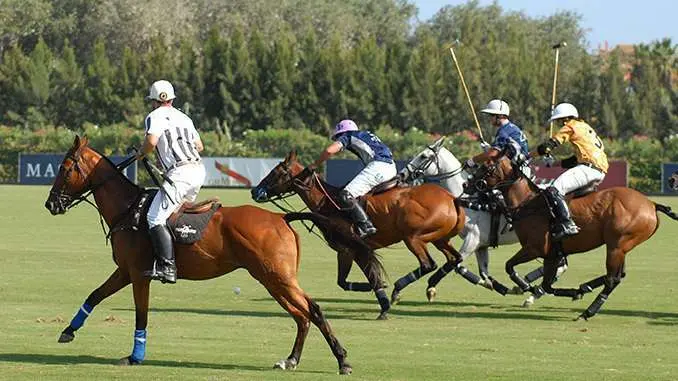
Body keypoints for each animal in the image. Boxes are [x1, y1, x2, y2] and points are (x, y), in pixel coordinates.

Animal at [43, 135, 356, 372]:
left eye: (65, 169)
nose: (51, 204)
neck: (128, 210)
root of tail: (281, 218)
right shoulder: (125, 271)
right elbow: (95, 295)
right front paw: (68, 330)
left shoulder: (139, 274)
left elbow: (141, 315)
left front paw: (135, 357)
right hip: (272, 279)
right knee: (301, 316)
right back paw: (291, 360)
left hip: (278, 277)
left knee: (312, 309)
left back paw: (342, 360)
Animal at [252, 150, 470, 316]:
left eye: (276, 173)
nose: (255, 191)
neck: (327, 201)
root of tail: (452, 198)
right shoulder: (347, 250)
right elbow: (347, 280)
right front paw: (381, 302)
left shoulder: (354, 245)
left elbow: (367, 276)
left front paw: (383, 293)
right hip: (440, 238)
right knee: (454, 258)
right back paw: (431, 287)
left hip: (414, 237)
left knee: (428, 264)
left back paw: (399, 288)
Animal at [402, 137, 572, 306]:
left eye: (423, 156)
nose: (403, 174)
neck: (468, 201)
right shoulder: (481, 245)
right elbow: (480, 272)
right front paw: (499, 287)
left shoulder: (472, 240)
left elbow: (455, 264)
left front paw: (431, 288)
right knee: (560, 264)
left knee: (560, 265)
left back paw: (533, 291)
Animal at [468, 147, 678, 320]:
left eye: (486, 165)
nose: (468, 185)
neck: (527, 202)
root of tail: (652, 204)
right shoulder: (551, 255)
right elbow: (547, 285)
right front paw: (573, 292)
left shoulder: (535, 248)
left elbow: (510, 266)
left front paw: (523, 286)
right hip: (621, 247)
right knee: (618, 275)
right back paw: (585, 288)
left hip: (617, 246)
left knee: (613, 279)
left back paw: (588, 312)